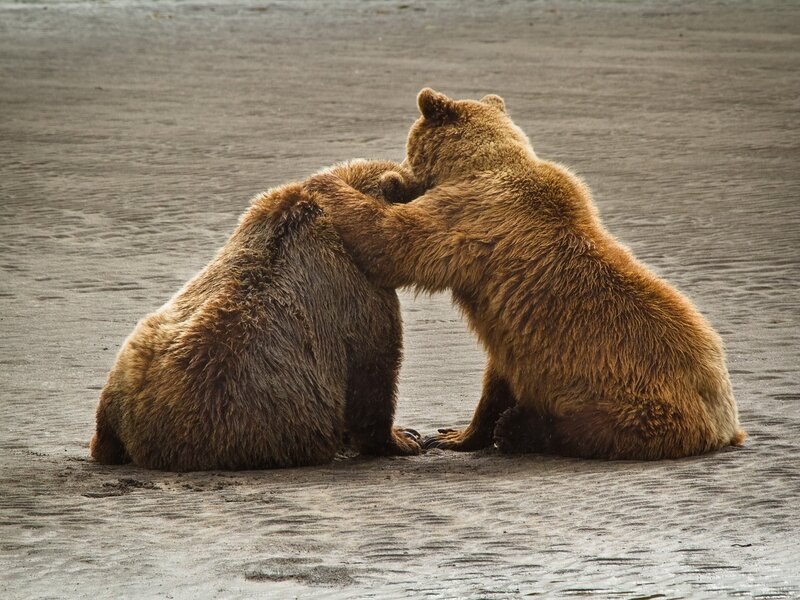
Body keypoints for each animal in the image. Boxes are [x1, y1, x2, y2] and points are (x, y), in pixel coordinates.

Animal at [304, 88, 746, 460]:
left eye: (409, 146)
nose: (399, 174)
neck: (480, 165)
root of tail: (726, 425)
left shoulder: (469, 217)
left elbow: (392, 242)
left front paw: (326, 180)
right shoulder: (510, 334)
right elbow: (496, 378)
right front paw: (454, 434)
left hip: (634, 405)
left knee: (587, 428)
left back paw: (522, 429)